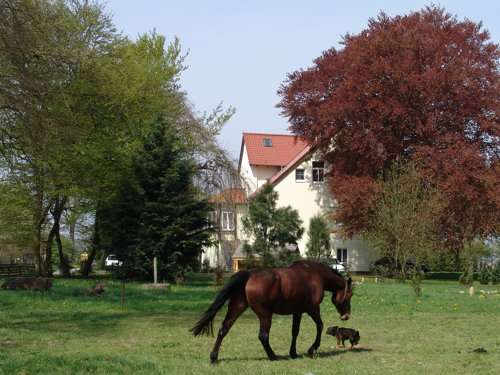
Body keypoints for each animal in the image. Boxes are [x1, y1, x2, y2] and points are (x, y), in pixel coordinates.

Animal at [190, 262, 352, 364]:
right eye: (349, 295)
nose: (346, 316)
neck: (314, 275)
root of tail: (249, 275)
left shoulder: (297, 311)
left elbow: (295, 331)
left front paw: (293, 353)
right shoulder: (312, 309)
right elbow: (320, 325)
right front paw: (312, 349)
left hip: (237, 308)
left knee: (223, 330)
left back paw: (214, 357)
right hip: (265, 315)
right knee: (263, 336)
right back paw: (273, 356)